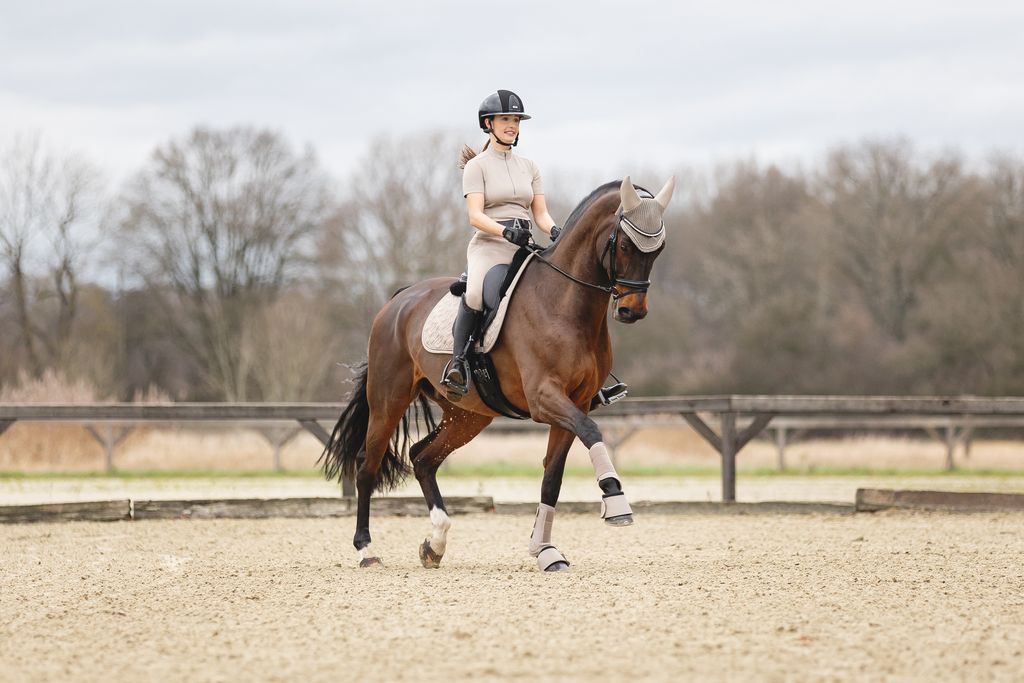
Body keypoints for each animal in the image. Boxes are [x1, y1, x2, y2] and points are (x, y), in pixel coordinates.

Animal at [320, 175, 676, 571]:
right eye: (626, 244)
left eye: (658, 249)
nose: (632, 311)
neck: (566, 302)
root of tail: (397, 301)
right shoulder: (545, 398)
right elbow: (591, 431)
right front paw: (615, 501)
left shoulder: (576, 402)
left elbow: (552, 478)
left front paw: (545, 550)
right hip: (389, 400)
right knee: (367, 465)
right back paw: (367, 550)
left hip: (468, 415)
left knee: (422, 458)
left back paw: (435, 544)